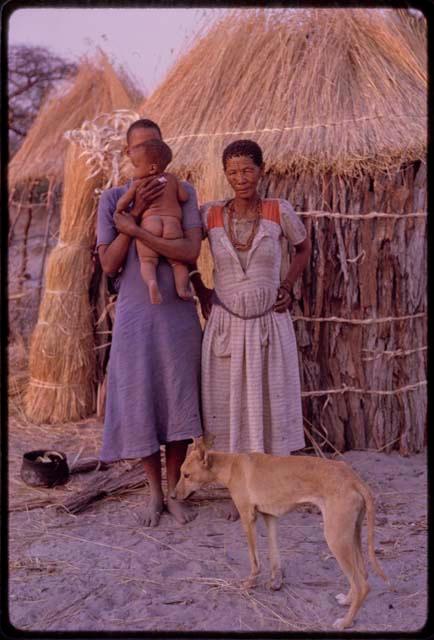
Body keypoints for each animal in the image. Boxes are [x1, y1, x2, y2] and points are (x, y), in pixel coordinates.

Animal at [173, 436, 390, 632]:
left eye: (186, 475)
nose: (174, 496)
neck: (231, 465)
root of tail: (353, 478)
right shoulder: (270, 518)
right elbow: (274, 555)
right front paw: (275, 582)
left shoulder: (248, 518)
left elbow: (255, 560)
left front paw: (250, 583)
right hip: (350, 534)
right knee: (362, 574)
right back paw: (347, 601)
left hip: (336, 538)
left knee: (362, 585)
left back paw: (345, 622)